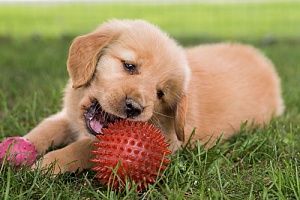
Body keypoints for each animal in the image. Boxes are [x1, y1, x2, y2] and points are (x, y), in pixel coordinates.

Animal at [24, 19, 284, 174]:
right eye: (129, 66)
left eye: (160, 93)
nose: (134, 108)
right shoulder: (65, 117)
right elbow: (45, 129)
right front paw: (18, 148)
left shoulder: (165, 140)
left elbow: (84, 148)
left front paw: (47, 164)